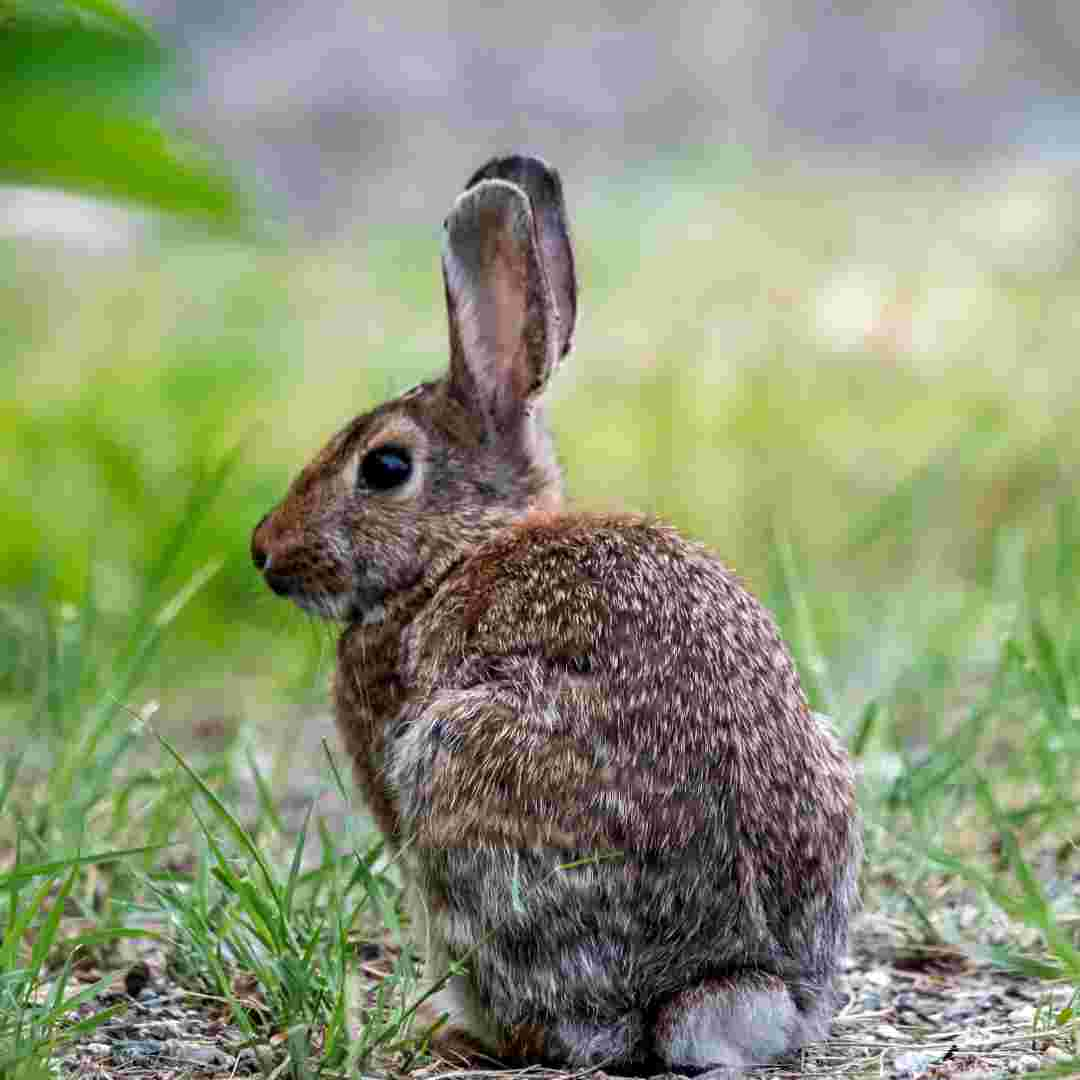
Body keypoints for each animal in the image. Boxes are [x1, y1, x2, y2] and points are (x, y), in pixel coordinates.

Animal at [250, 156, 859, 1075]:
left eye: (385, 467)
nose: (265, 552)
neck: (456, 552)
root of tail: (720, 980)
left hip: (461, 784)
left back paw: (456, 1033)